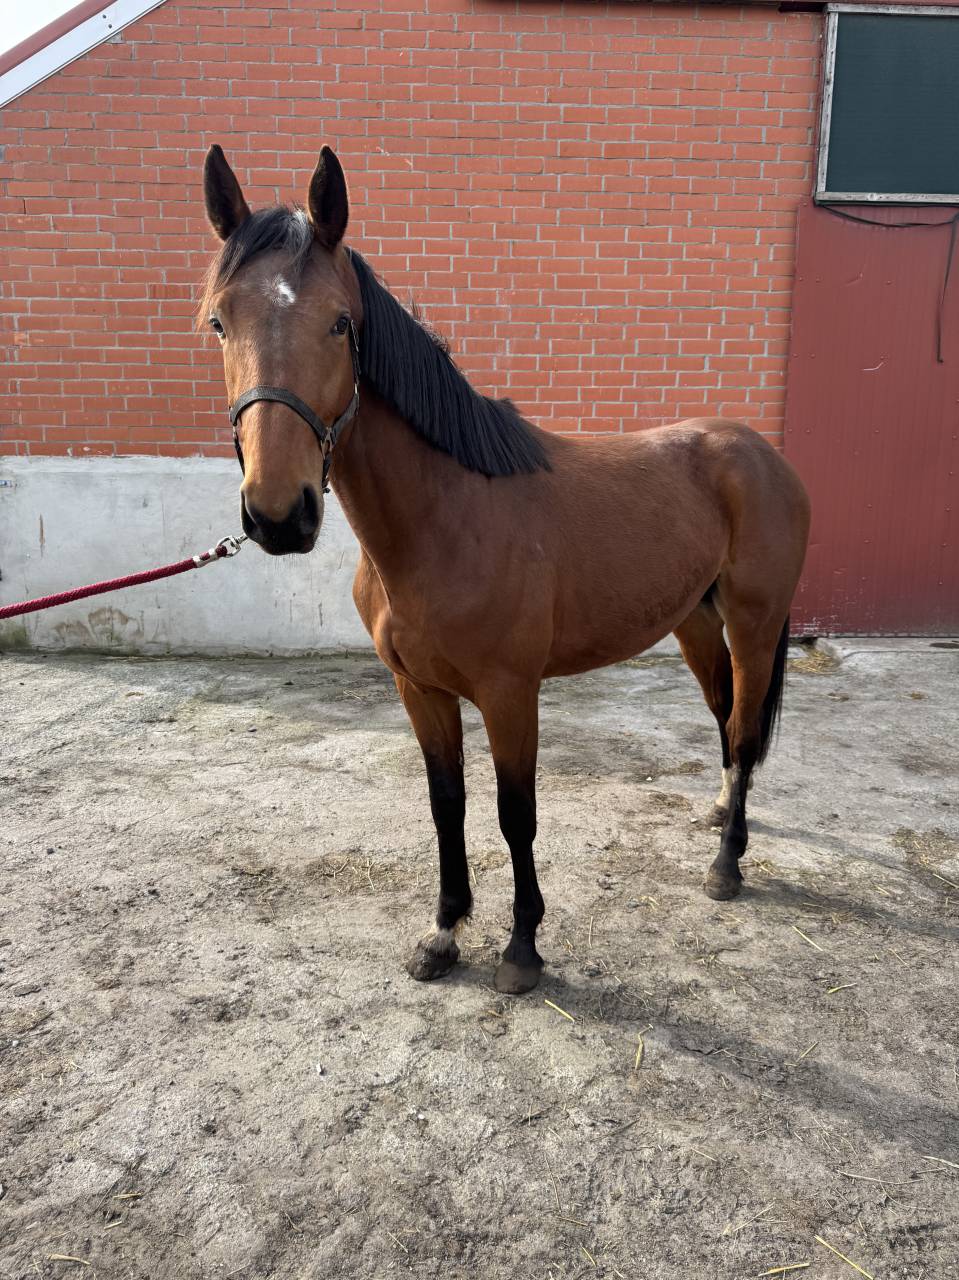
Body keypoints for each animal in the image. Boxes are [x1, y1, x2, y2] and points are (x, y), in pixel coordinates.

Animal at [200, 144, 811, 995]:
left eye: (340, 322)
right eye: (220, 321)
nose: (278, 514)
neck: (444, 520)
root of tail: (761, 455)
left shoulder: (509, 692)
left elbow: (513, 813)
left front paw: (521, 948)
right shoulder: (419, 691)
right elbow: (446, 804)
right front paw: (443, 931)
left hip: (754, 625)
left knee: (747, 730)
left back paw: (725, 865)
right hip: (695, 623)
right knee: (725, 723)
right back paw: (723, 816)